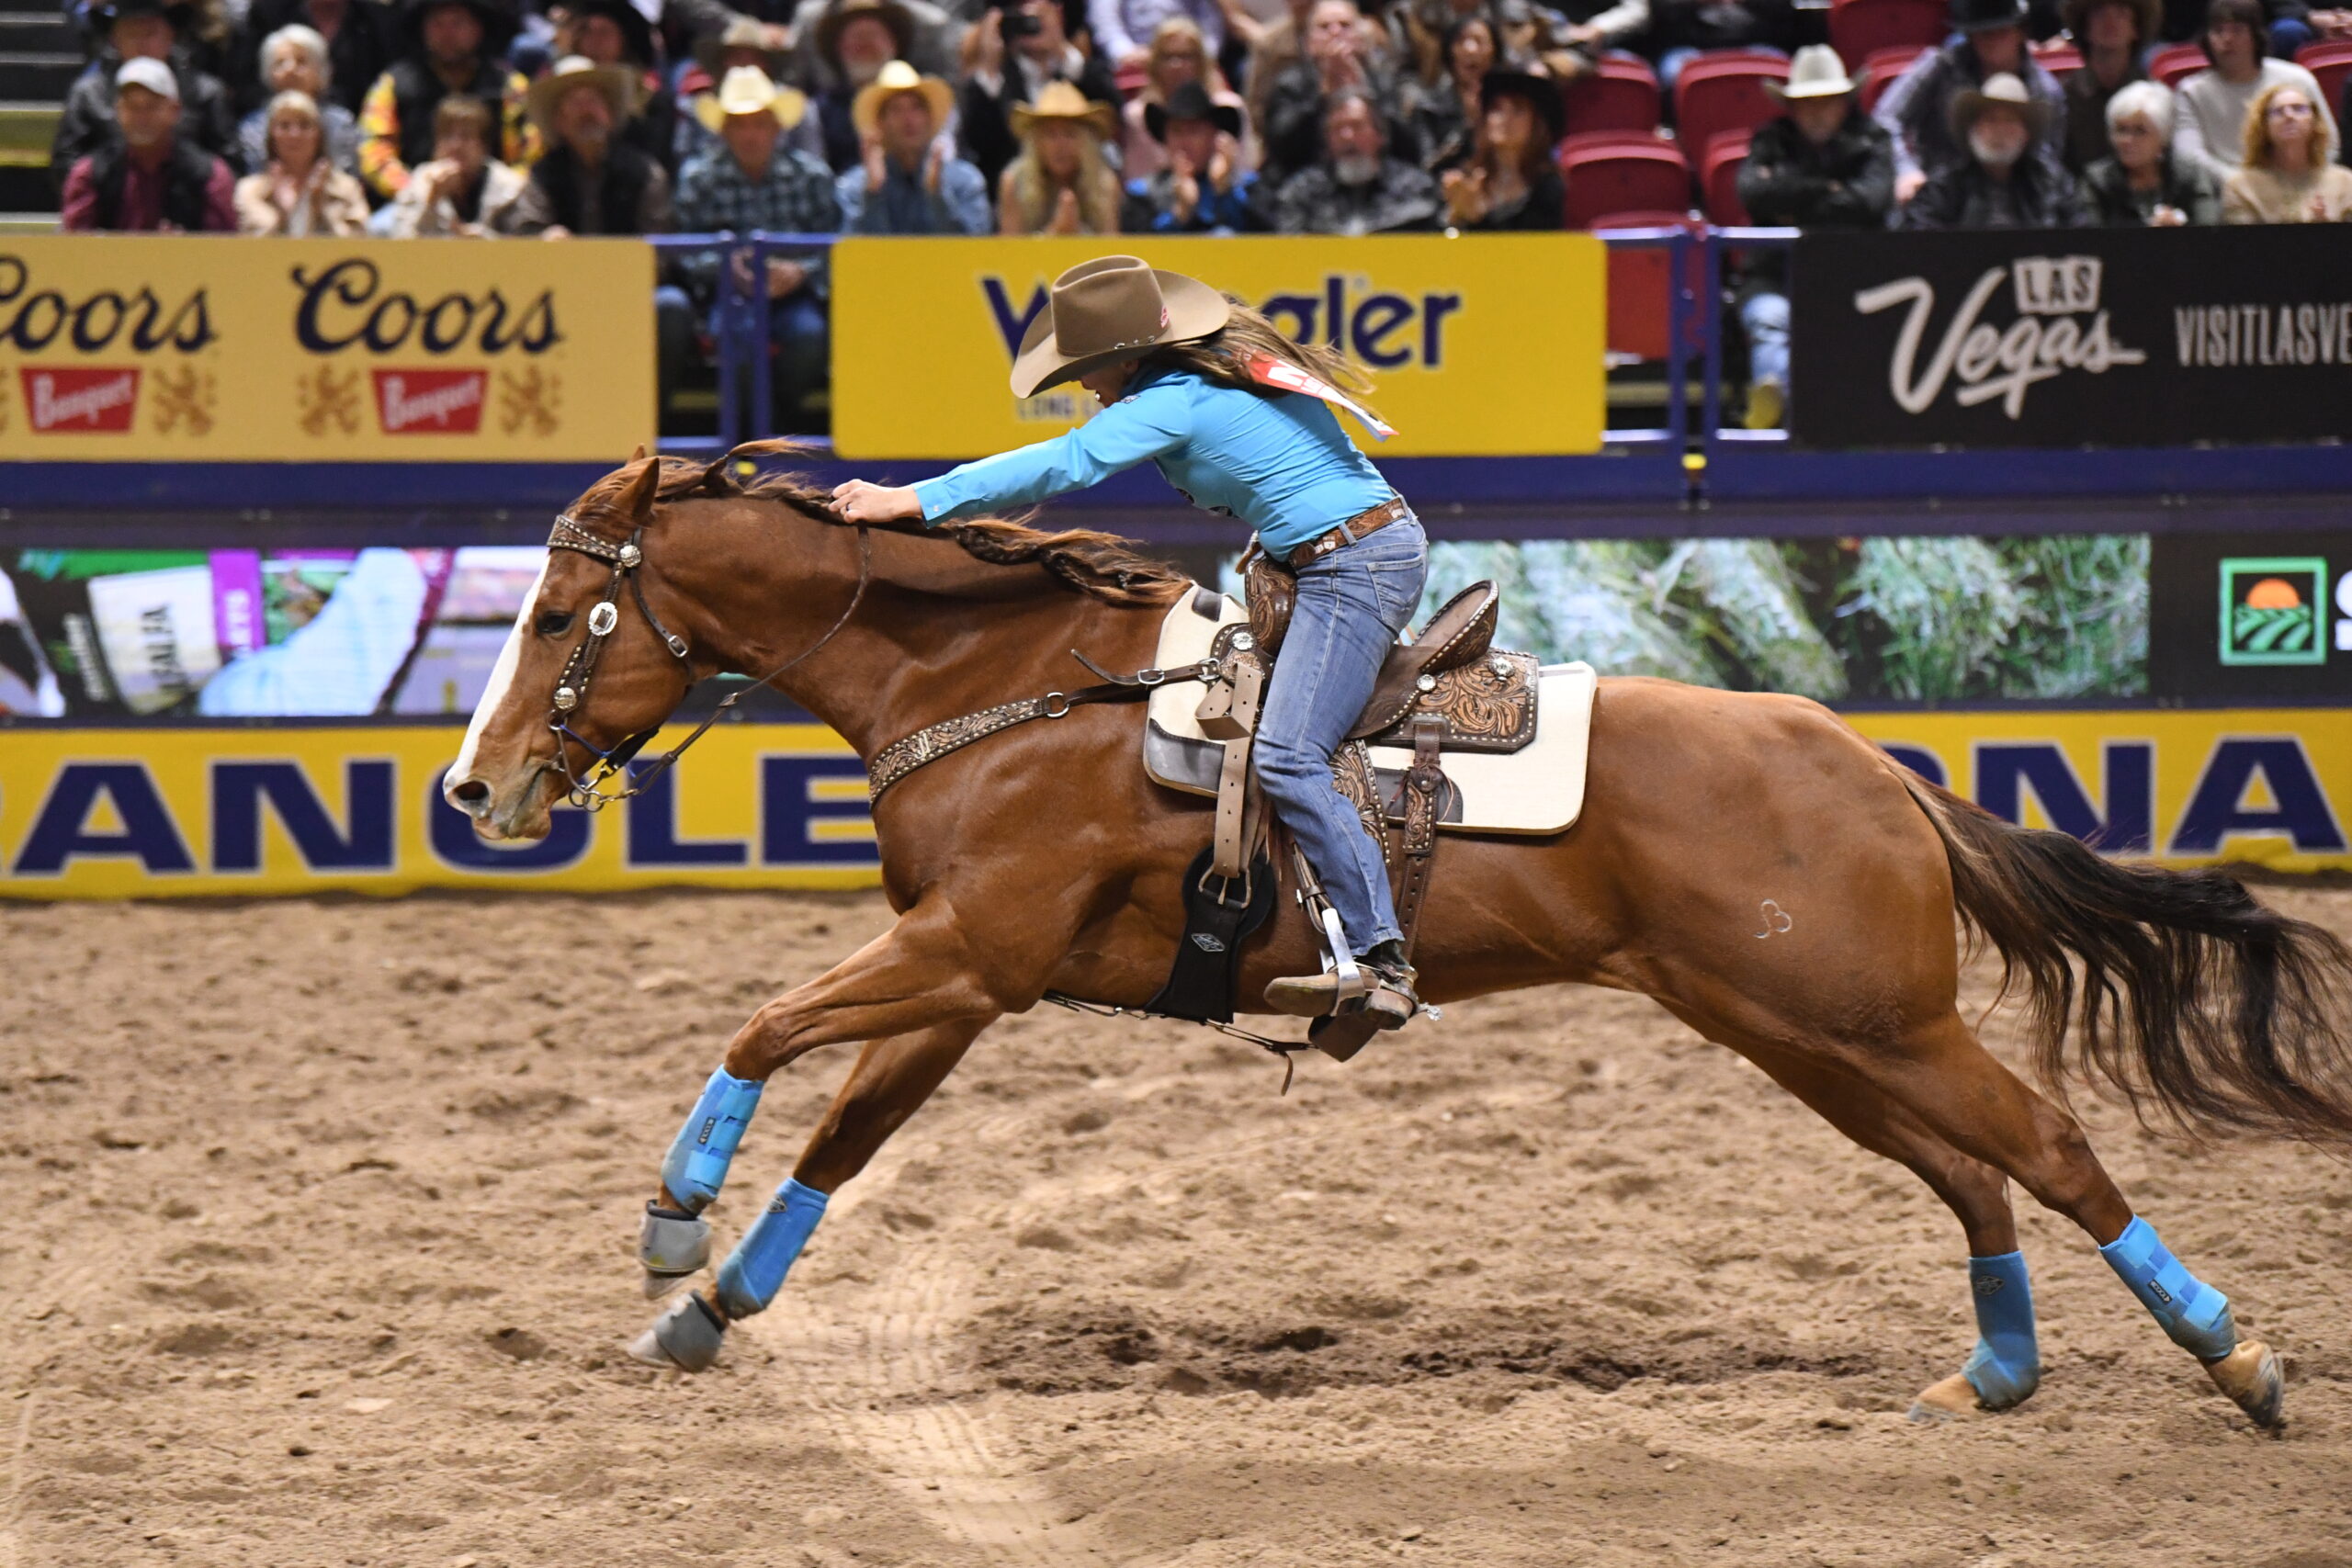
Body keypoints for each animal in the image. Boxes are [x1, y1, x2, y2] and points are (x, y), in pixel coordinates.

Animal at [445, 445, 2352, 1427]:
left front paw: (671, 1226)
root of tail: (1876, 762)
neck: (1008, 687)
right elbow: (844, 1132)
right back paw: (2002, 1368)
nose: (474, 787)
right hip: (1805, 1032)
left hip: (1868, 1022)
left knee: (2046, 1140)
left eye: (550, 610)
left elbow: (762, 1031)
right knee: (1969, 1172)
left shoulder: (966, 950)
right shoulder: (970, 977)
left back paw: (2239, 1358)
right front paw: (705, 1314)